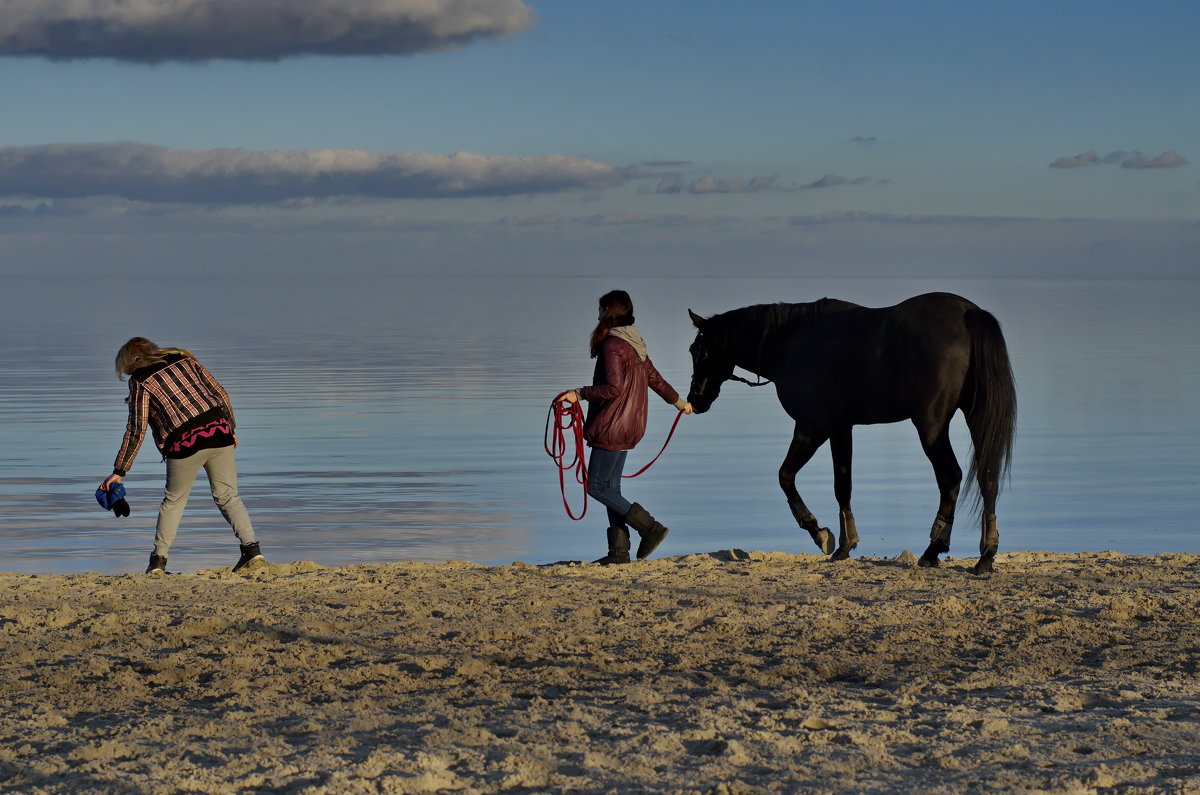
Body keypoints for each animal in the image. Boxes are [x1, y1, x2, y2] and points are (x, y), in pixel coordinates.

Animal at [691, 293, 1017, 574]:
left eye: (698, 351)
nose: (696, 398)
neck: (793, 340)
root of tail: (969, 313)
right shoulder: (841, 427)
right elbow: (842, 484)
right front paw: (845, 543)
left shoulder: (812, 426)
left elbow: (786, 476)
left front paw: (819, 532)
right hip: (975, 417)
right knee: (987, 475)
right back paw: (986, 556)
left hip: (931, 426)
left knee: (950, 477)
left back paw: (933, 549)